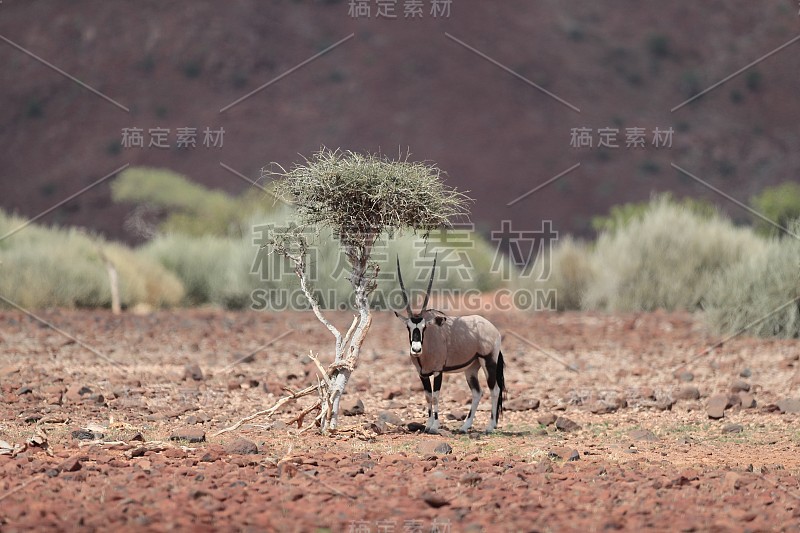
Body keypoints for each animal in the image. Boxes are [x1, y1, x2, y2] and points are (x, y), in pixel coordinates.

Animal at [396, 256, 506, 434]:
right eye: (408, 327)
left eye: (424, 327)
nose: (416, 349)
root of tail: (494, 329)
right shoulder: (422, 374)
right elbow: (428, 396)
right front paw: (427, 425)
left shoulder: (438, 371)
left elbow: (435, 396)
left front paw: (435, 426)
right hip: (471, 369)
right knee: (477, 392)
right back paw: (465, 426)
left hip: (488, 362)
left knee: (494, 390)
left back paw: (490, 427)